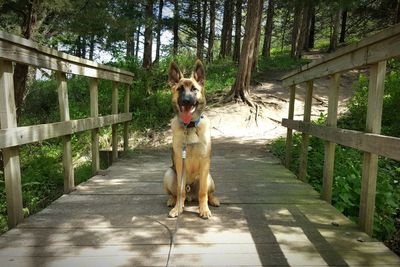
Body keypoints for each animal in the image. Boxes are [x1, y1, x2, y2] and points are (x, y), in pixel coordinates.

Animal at [162, 59, 220, 219]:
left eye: (194, 89)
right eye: (180, 89)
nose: (187, 101)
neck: (190, 127)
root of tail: (190, 196)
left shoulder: (205, 162)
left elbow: (203, 192)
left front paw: (204, 209)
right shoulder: (179, 163)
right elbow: (180, 190)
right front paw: (177, 209)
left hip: (209, 178)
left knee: (207, 193)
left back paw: (213, 200)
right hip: (169, 174)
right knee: (177, 193)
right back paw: (173, 201)